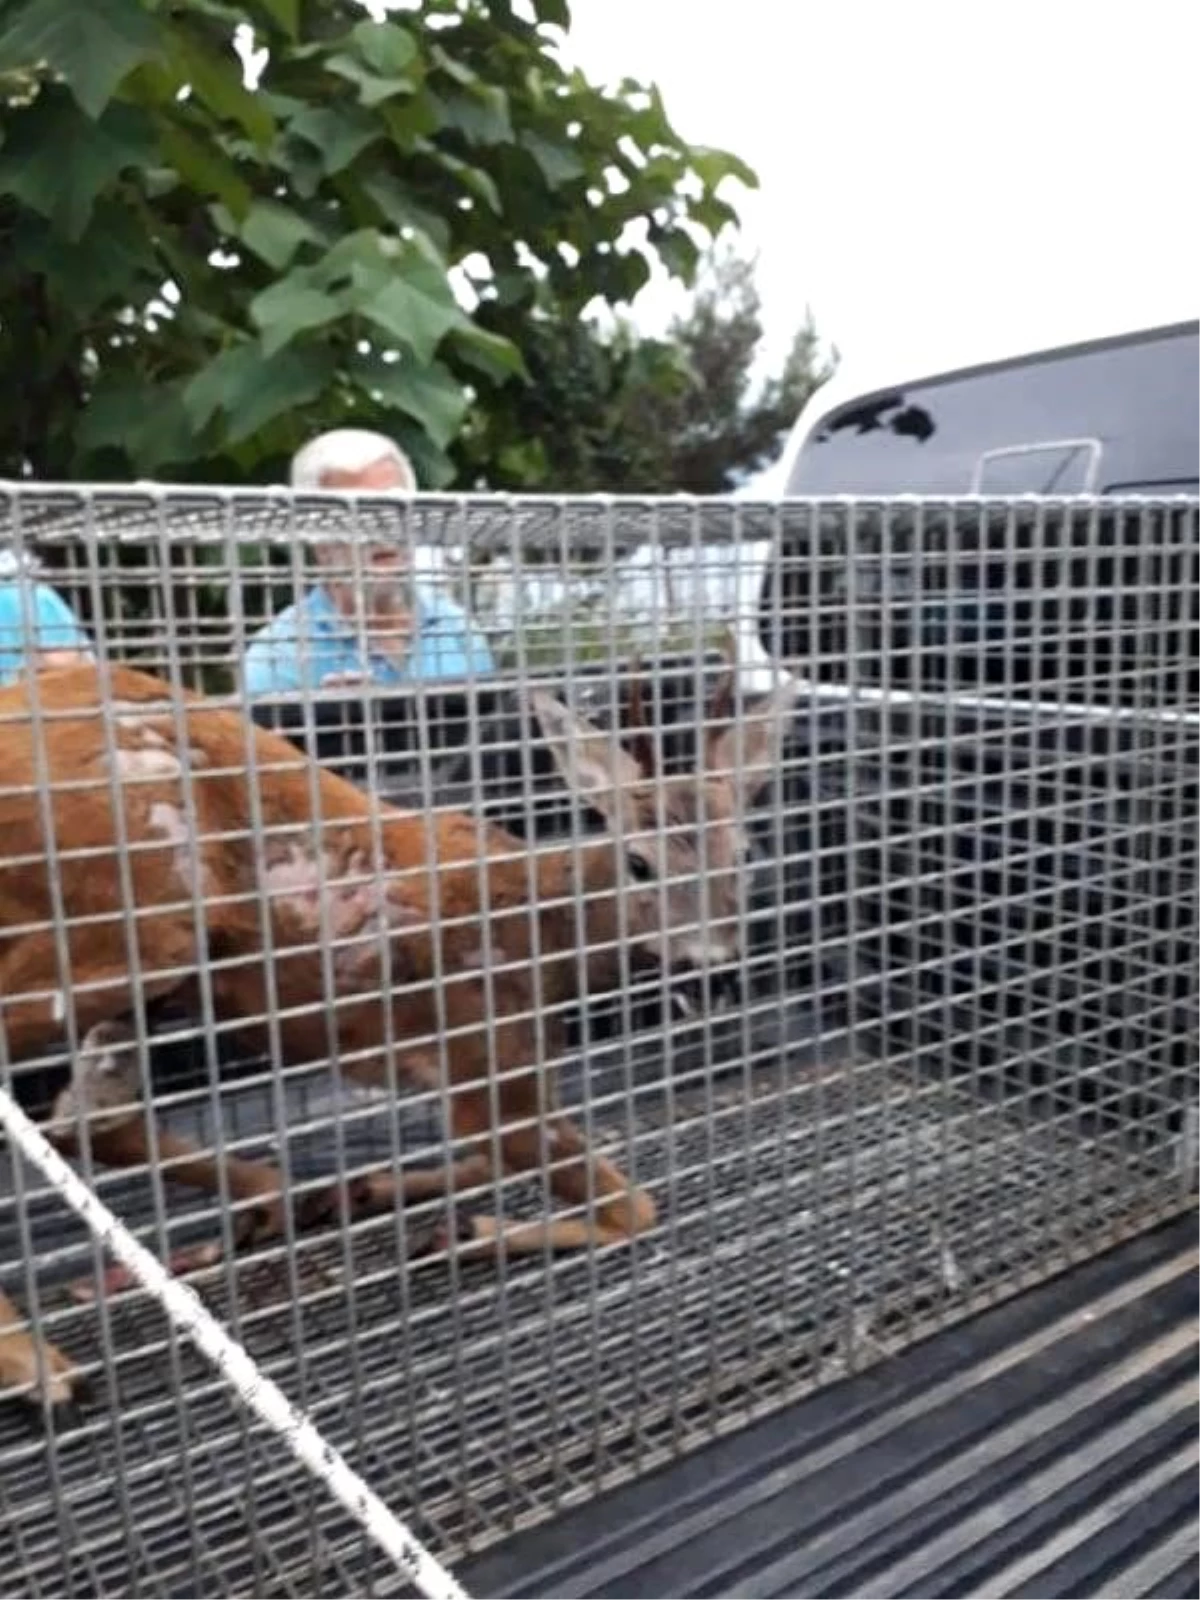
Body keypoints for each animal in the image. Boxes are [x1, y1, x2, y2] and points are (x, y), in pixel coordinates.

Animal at [0, 652, 800, 1427]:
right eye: (639, 862)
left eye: (745, 852)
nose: (712, 966)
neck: (542, 929)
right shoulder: (487, 1063)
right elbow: (632, 1208)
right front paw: (470, 1231)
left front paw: (381, 1189)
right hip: (131, 926)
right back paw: (42, 1367)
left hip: (148, 970)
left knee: (89, 1119)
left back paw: (280, 1202)